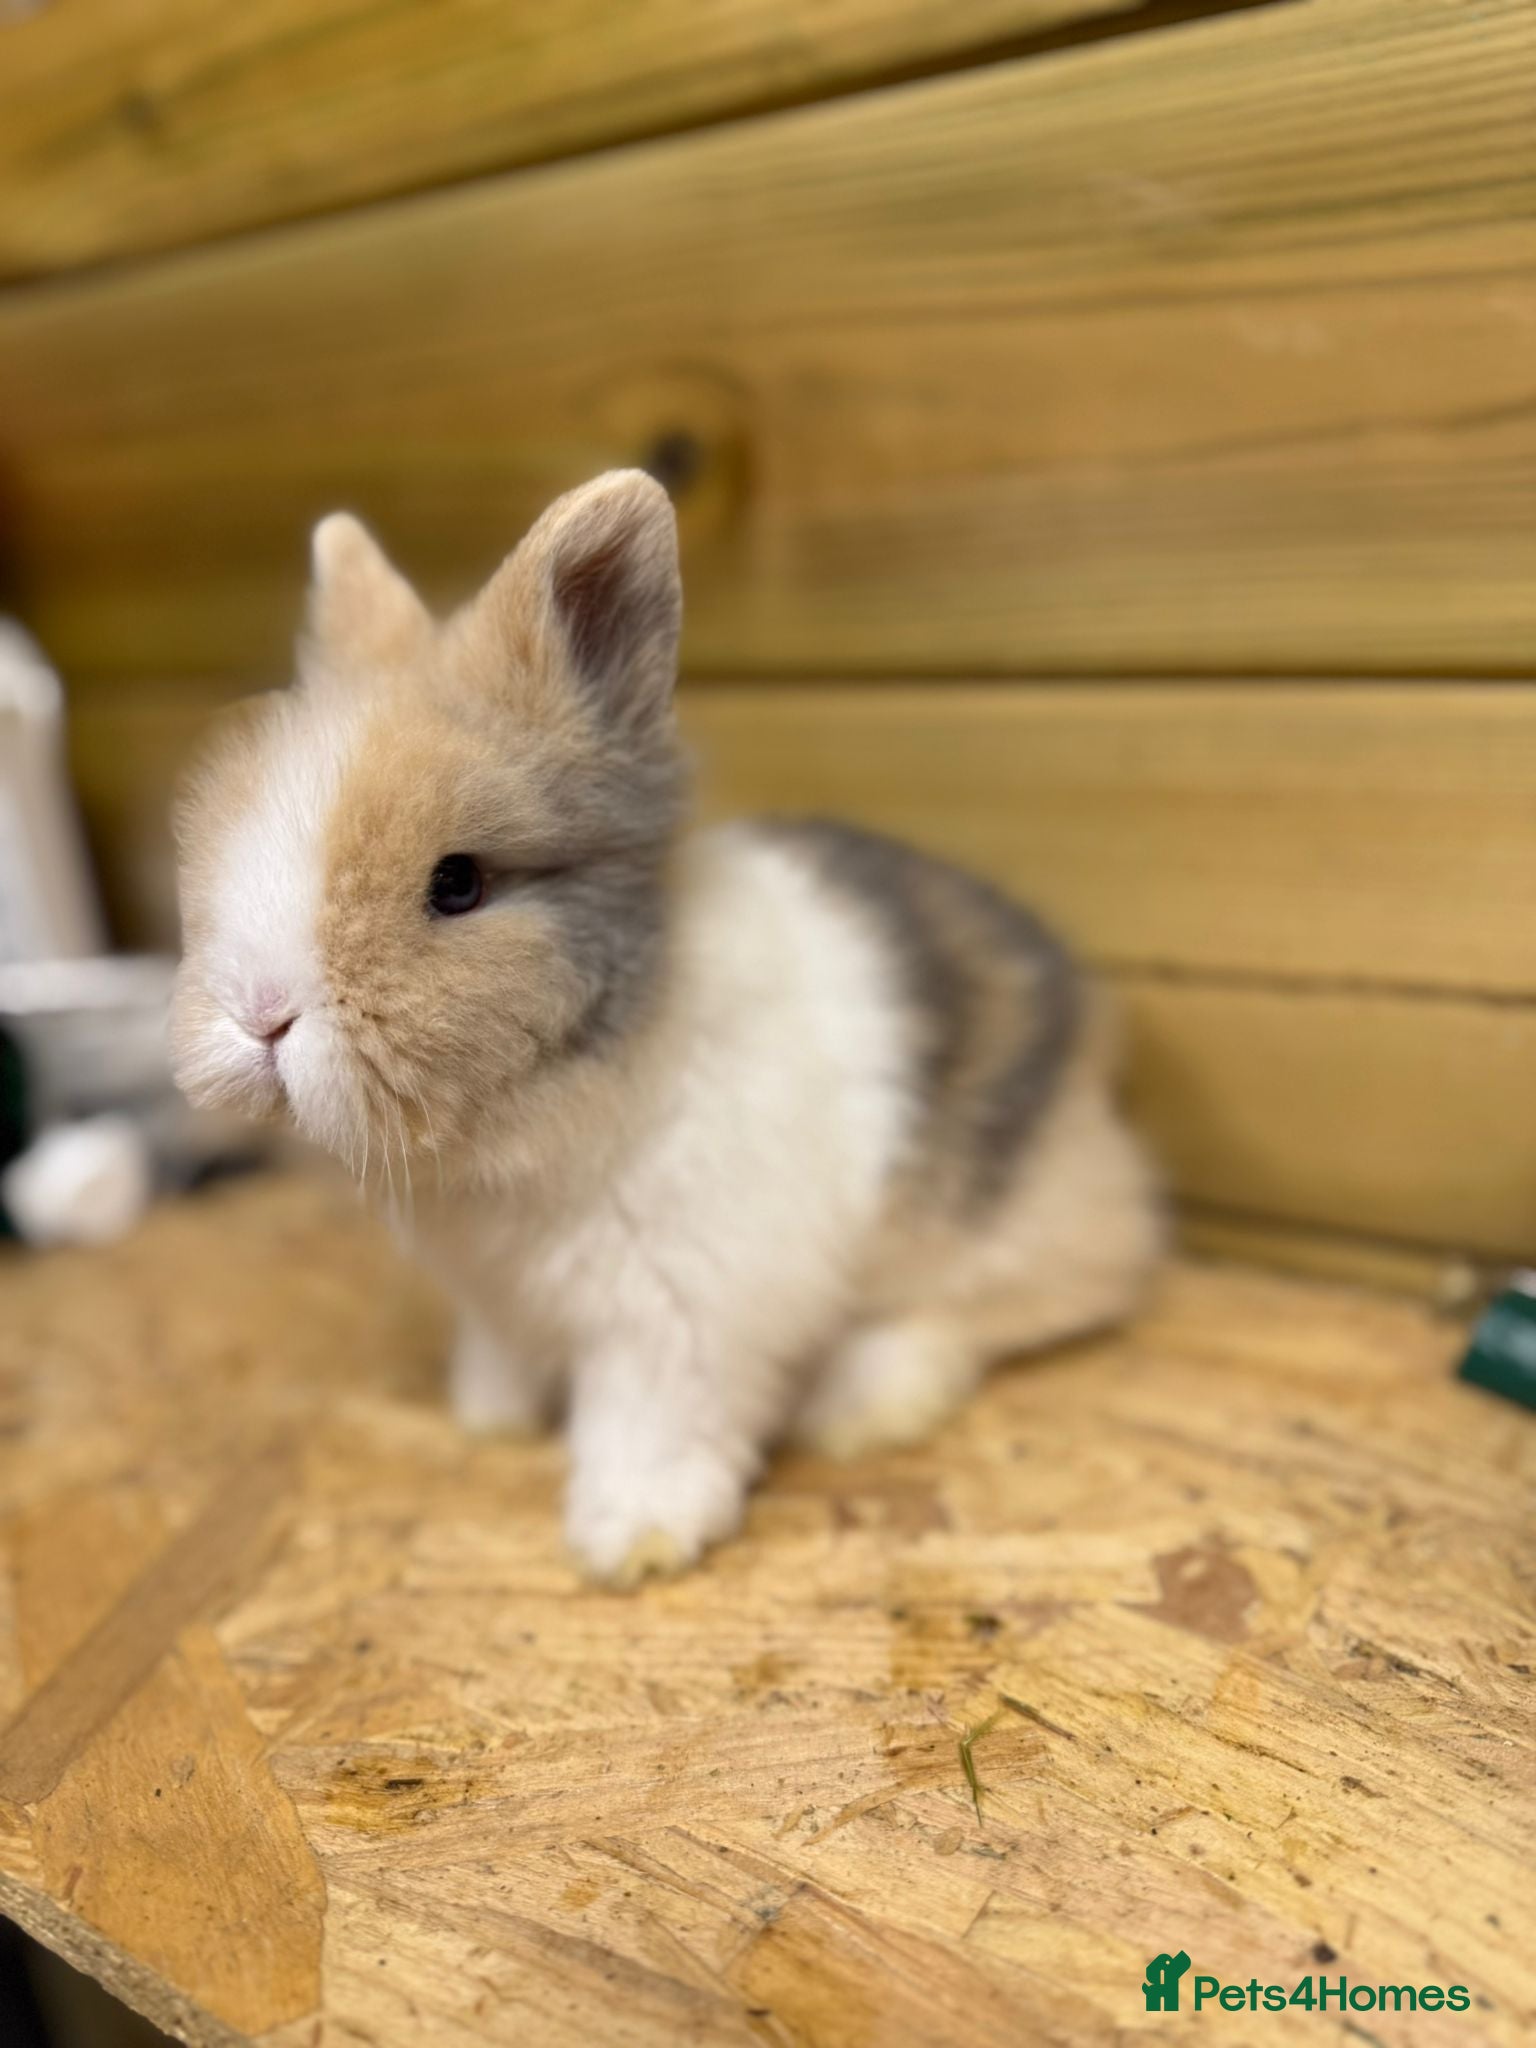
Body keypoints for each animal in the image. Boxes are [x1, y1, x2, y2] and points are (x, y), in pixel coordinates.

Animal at [172, 471, 1163, 1585]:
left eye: (458, 882)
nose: (260, 1014)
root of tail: (1098, 1042)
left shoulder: (679, 1318)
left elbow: (653, 1429)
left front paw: (633, 1544)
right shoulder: (498, 1299)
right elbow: (503, 1359)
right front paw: (490, 1420)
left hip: (990, 1221)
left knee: (1012, 1303)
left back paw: (861, 1407)